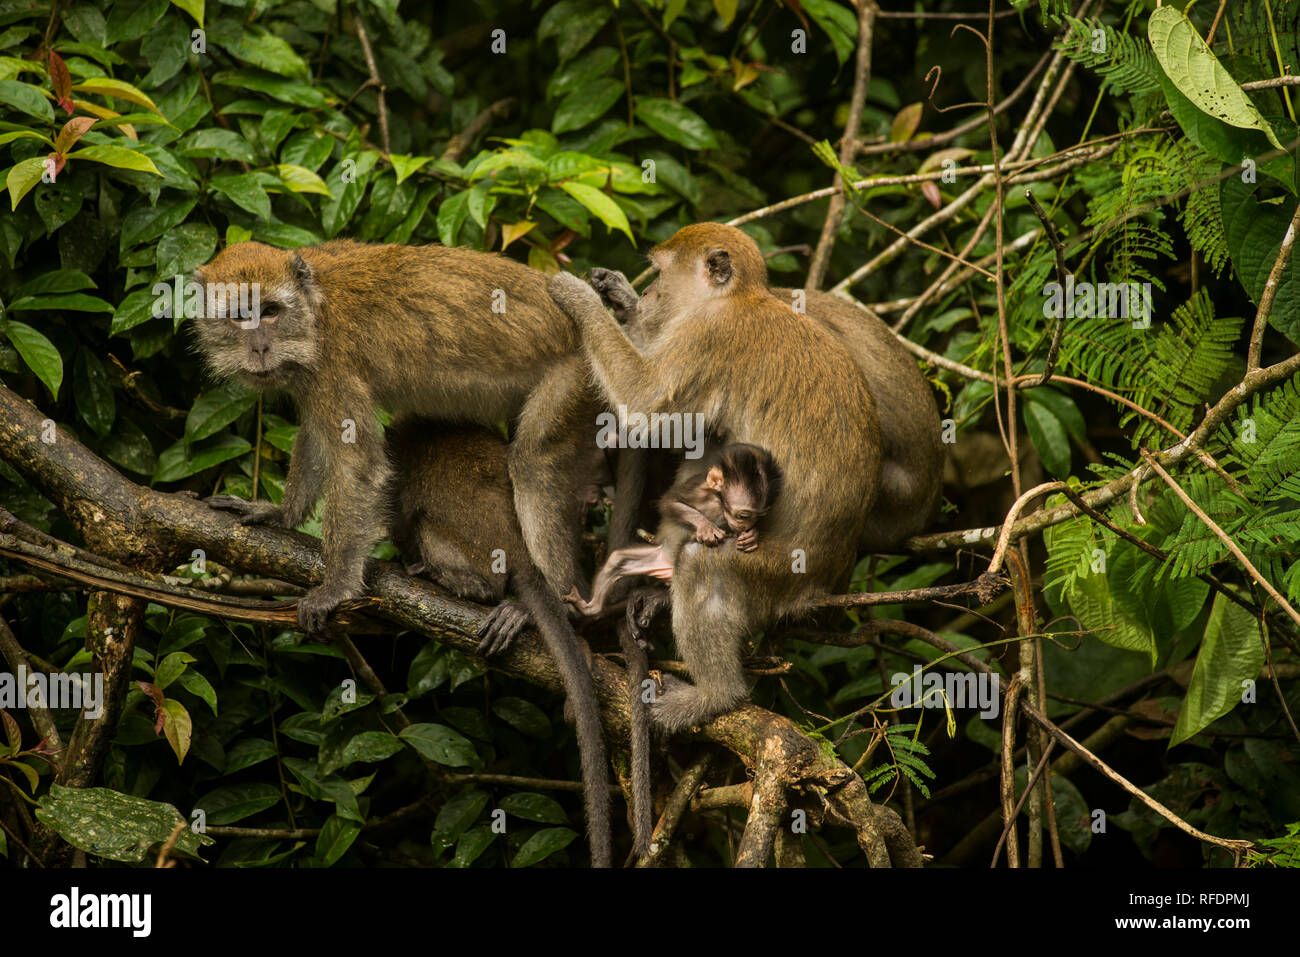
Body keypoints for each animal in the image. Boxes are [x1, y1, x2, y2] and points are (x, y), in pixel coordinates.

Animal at [189, 239, 595, 631]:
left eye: (270, 310)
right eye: (240, 316)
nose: (260, 347)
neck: (312, 310)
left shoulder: (332, 362)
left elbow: (359, 466)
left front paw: (337, 587)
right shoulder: (311, 376)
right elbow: (318, 440)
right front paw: (281, 514)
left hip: (572, 373)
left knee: (532, 463)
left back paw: (555, 601)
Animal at [569, 442, 780, 616]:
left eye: (758, 516)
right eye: (743, 515)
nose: (747, 525)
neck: (718, 502)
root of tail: (667, 566)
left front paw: (752, 536)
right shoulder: (697, 489)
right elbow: (669, 502)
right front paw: (705, 526)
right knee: (617, 560)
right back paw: (590, 607)